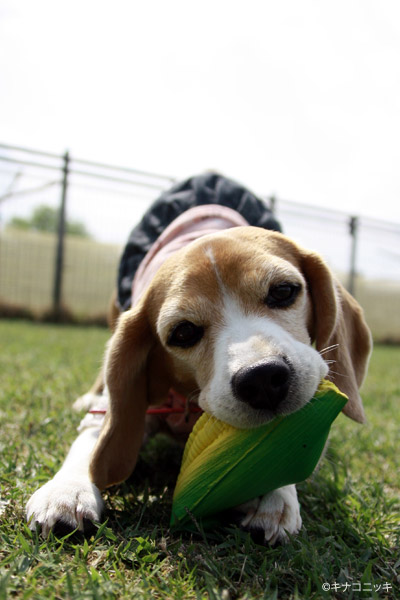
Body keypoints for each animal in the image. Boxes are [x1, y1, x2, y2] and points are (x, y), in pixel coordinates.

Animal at [26, 200, 372, 544]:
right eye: (183, 332)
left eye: (283, 291)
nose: (261, 378)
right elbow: (95, 437)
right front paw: (67, 490)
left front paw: (271, 489)